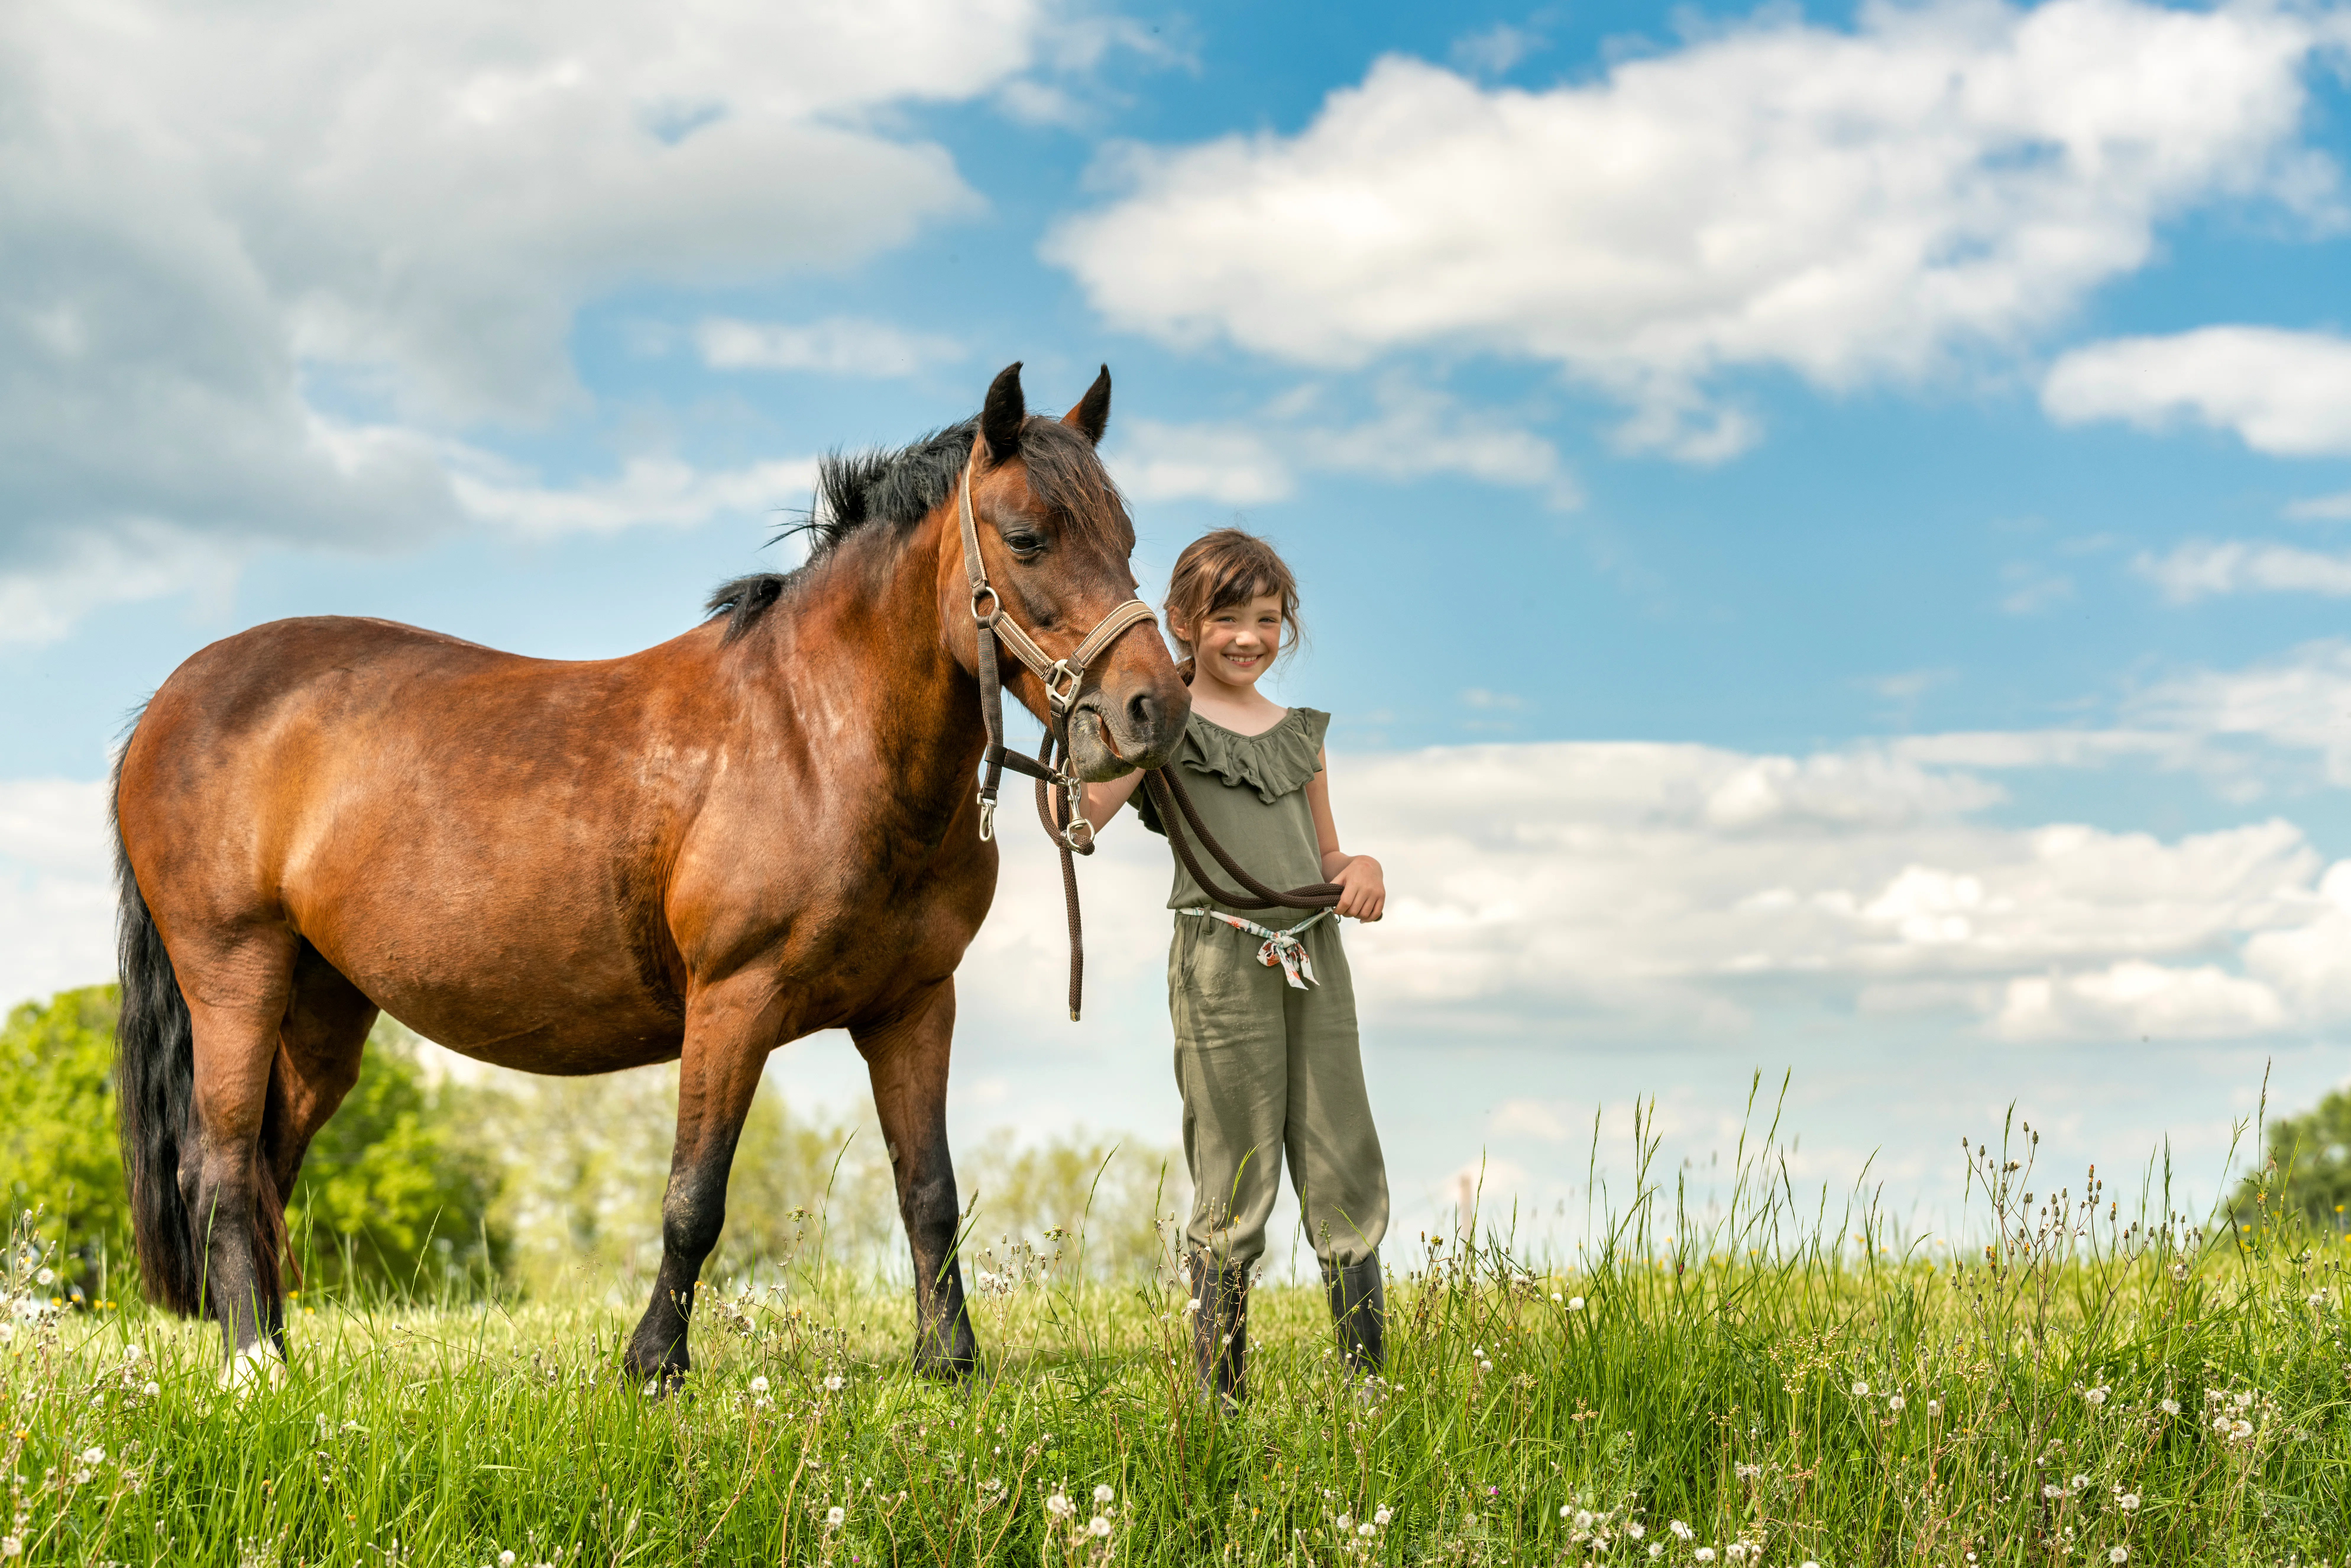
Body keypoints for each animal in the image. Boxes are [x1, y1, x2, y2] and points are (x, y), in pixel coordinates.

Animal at [110, 363, 1188, 1387]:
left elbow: (929, 1192)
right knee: (219, 1166)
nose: (1157, 707)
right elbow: (694, 1198)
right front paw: (655, 1362)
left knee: (267, 1165)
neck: (816, 737)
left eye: (1128, 538)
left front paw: (950, 1363)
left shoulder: (915, 1006)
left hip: (324, 1003)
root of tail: (170, 702)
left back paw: (278, 1353)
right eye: (1028, 538)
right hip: (236, 974)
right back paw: (250, 1366)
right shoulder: (733, 1001)